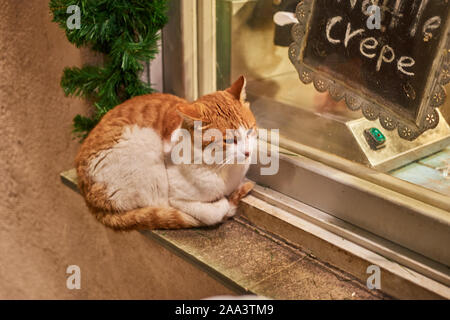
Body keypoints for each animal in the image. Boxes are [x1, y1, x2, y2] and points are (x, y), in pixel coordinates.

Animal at [75, 75, 255, 230]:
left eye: (249, 131)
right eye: (229, 141)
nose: (247, 153)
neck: (225, 170)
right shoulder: (174, 198)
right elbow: (211, 213)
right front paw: (223, 203)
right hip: (147, 146)